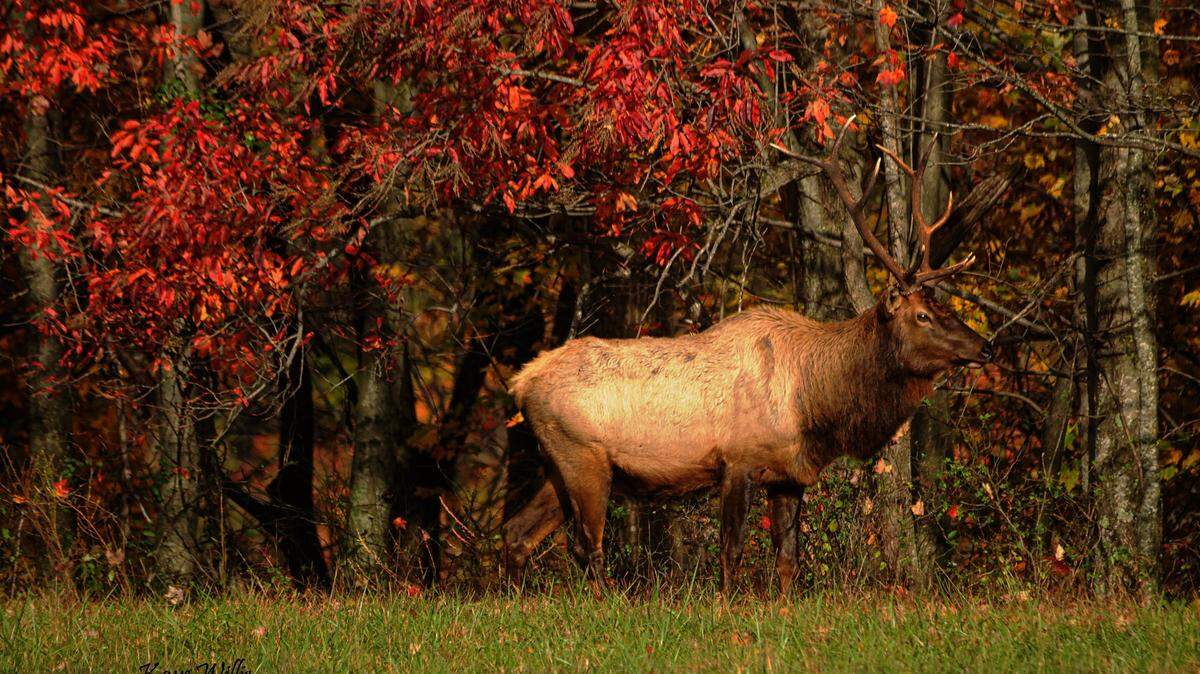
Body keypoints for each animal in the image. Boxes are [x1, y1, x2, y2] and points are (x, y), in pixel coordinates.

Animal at [502, 122, 996, 594]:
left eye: (944, 307)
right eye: (922, 315)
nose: (985, 347)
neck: (813, 404)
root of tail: (521, 382)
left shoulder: (789, 474)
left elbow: (788, 560)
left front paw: (783, 607)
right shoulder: (736, 457)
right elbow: (732, 549)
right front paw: (726, 604)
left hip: (555, 462)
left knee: (516, 533)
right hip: (582, 456)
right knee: (586, 544)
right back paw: (609, 601)